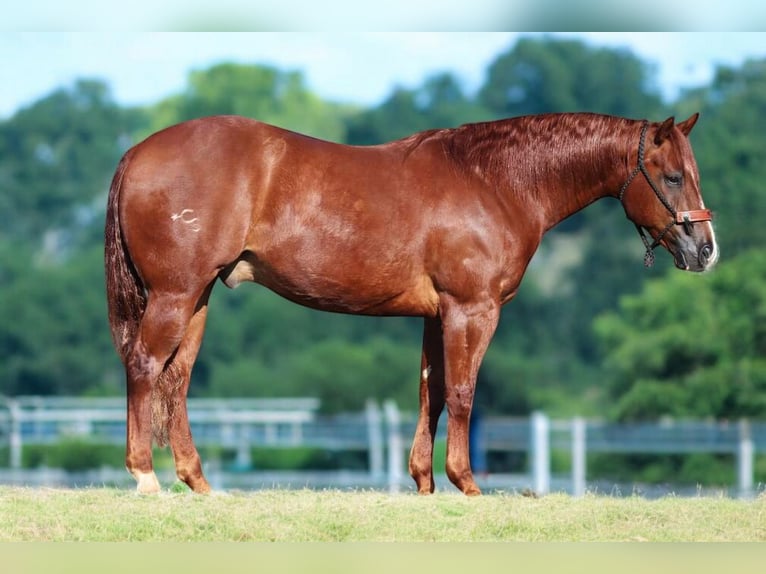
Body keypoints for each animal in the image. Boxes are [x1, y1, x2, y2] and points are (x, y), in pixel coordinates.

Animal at [103, 111, 720, 496]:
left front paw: (424, 483)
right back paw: (145, 476)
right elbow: (464, 393)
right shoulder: (472, 309)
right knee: (144, 366)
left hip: (198, 299)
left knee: (175, 380)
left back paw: (198, 482)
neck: (495, 181)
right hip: (176, 295)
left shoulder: (435, 314)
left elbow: (433, 393)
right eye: (671, 176)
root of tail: (137, 152)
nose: (706, 250)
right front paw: (466, 483)